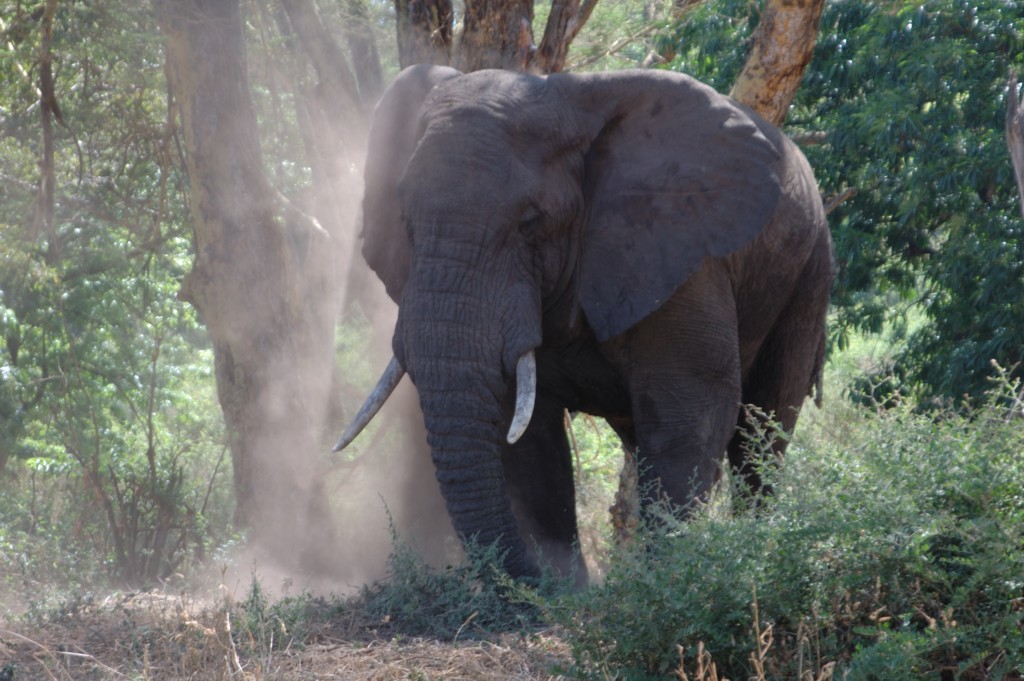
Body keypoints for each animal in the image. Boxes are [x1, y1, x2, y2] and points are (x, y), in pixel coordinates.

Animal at [336, 64, 834, 583]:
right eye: (406, 221)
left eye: (530, 222)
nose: (526, 578)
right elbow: (528, 437)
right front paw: (562, 588)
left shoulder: (683, 255)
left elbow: (691, 408)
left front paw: (662, 580)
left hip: (810, 270)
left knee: (764, 430)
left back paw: (757, 547)